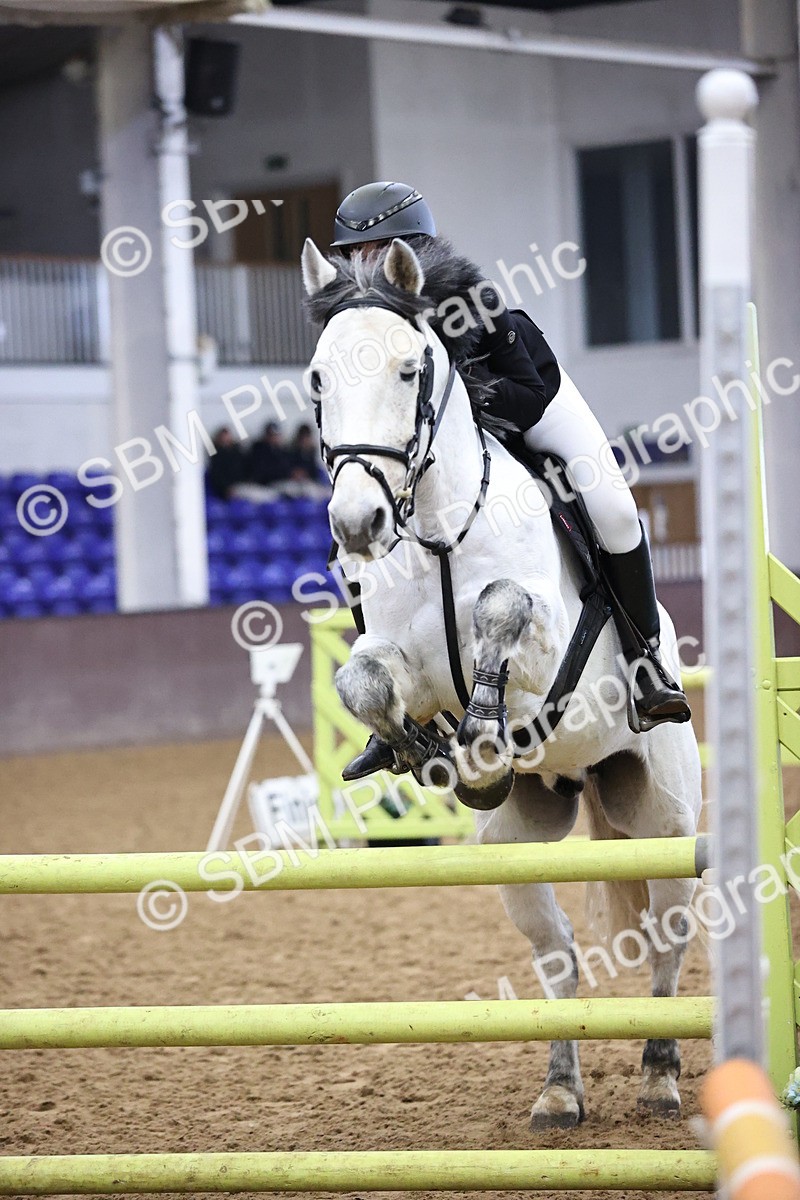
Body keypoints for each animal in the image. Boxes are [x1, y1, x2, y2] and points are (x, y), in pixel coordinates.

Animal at [301, 235, 702, 1130]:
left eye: (410, 370)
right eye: (318, 380)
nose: (355, 524)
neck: (438, 532)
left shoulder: (554, 652)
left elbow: (502, 607)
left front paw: (483, 733)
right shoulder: (398, 661)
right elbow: (365, 680)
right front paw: (423, 752)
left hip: (663, 819)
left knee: (667, 937)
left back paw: (660, 1076)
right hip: (518, 842)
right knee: (558, 956)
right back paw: (559, 1090)